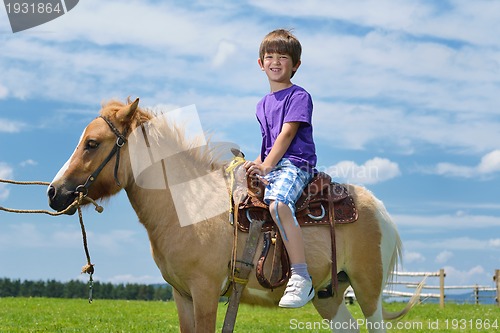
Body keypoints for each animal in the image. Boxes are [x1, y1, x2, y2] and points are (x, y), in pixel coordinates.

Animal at [48, 97, 420, 330]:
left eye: (92, 143)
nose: (53, 192)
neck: (189, 207)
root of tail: (379, 209)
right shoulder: (182, 295)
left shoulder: (205, 292)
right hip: (330, 295)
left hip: (369, 292)